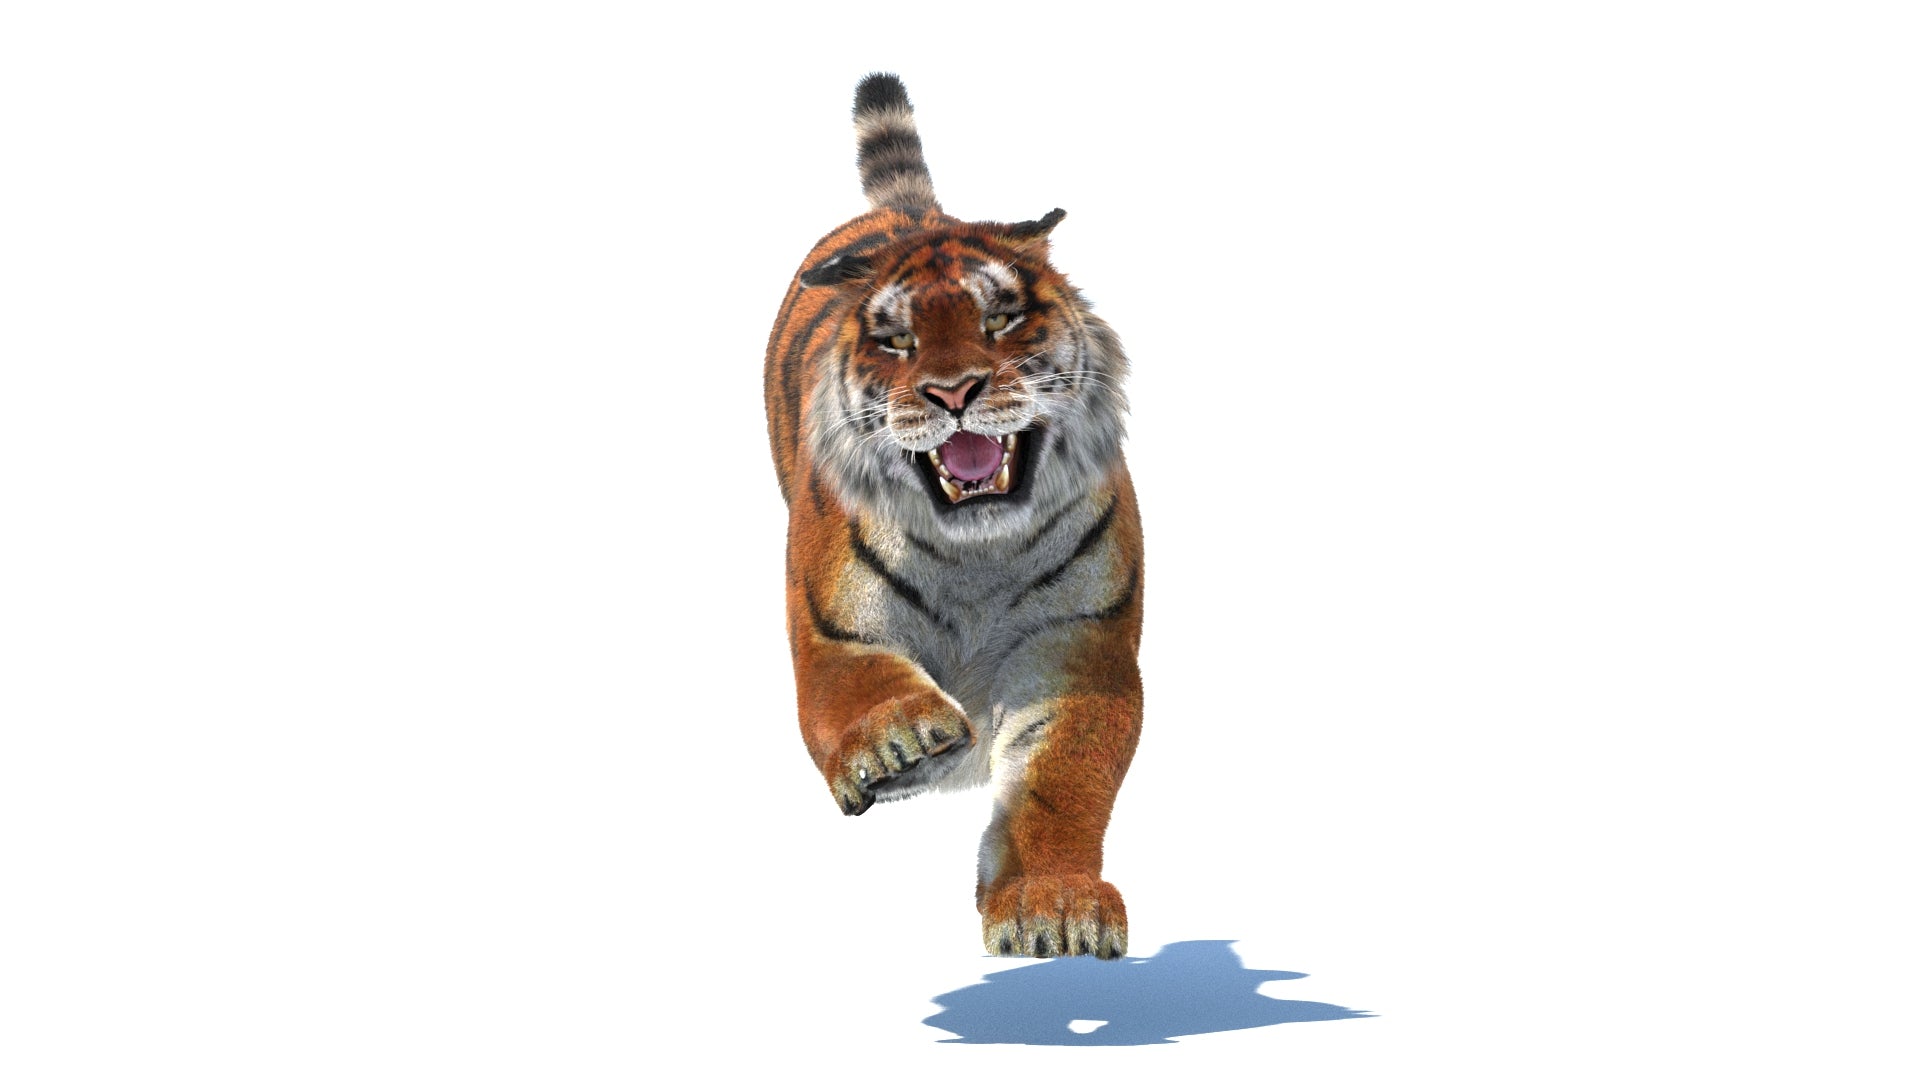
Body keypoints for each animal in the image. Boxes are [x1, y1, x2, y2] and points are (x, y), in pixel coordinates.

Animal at [764, 73, 1143, 960]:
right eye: (897, 341)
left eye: (999, 319)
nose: (953, 392)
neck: (977, 554)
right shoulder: (830, 629)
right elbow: (857, 685)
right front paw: (898, 744)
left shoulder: (1079, 647)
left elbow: (1060, 782)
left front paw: (1055, 906)